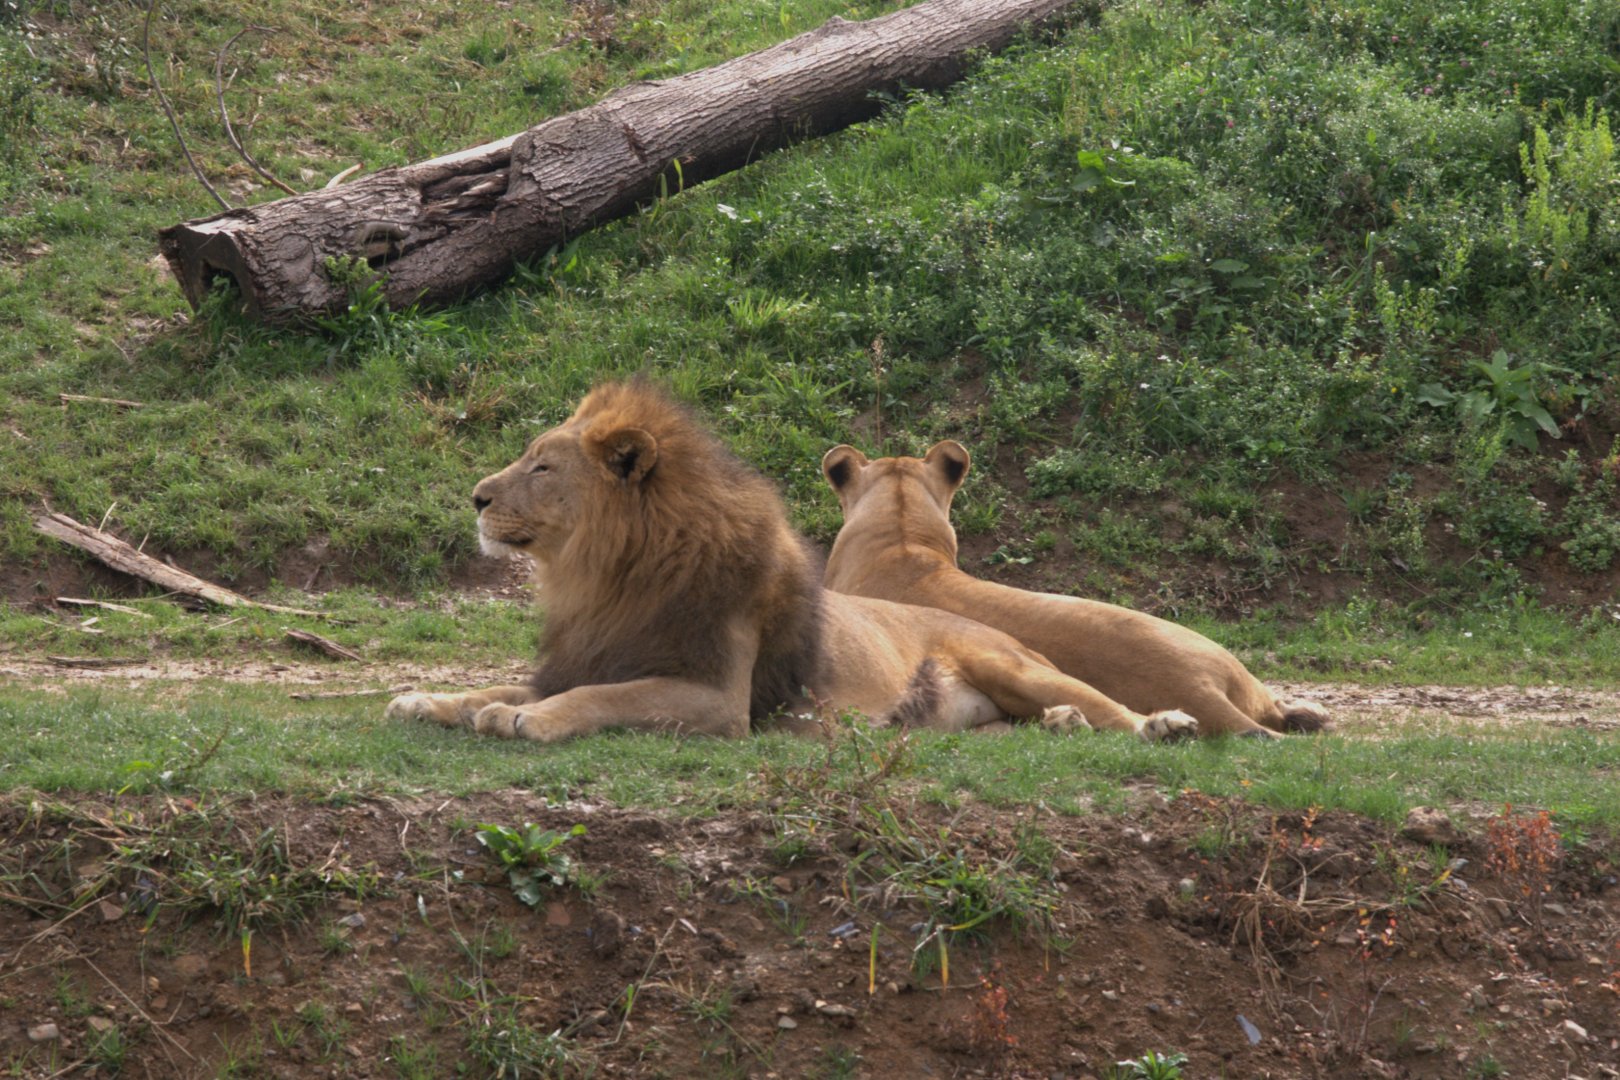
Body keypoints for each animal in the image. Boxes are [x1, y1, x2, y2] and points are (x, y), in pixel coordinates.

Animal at [387, 382, 1200, 744]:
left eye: (543, 468)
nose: (476, 497)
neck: (606, 576)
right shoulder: (585, 652)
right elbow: (498, 684)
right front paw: (426, 700)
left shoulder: (717, 697)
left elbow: (601, 699)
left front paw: (525, 718)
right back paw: (1063, 724)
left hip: (1013, 664)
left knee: (1115, 710)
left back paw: (1162, 724)